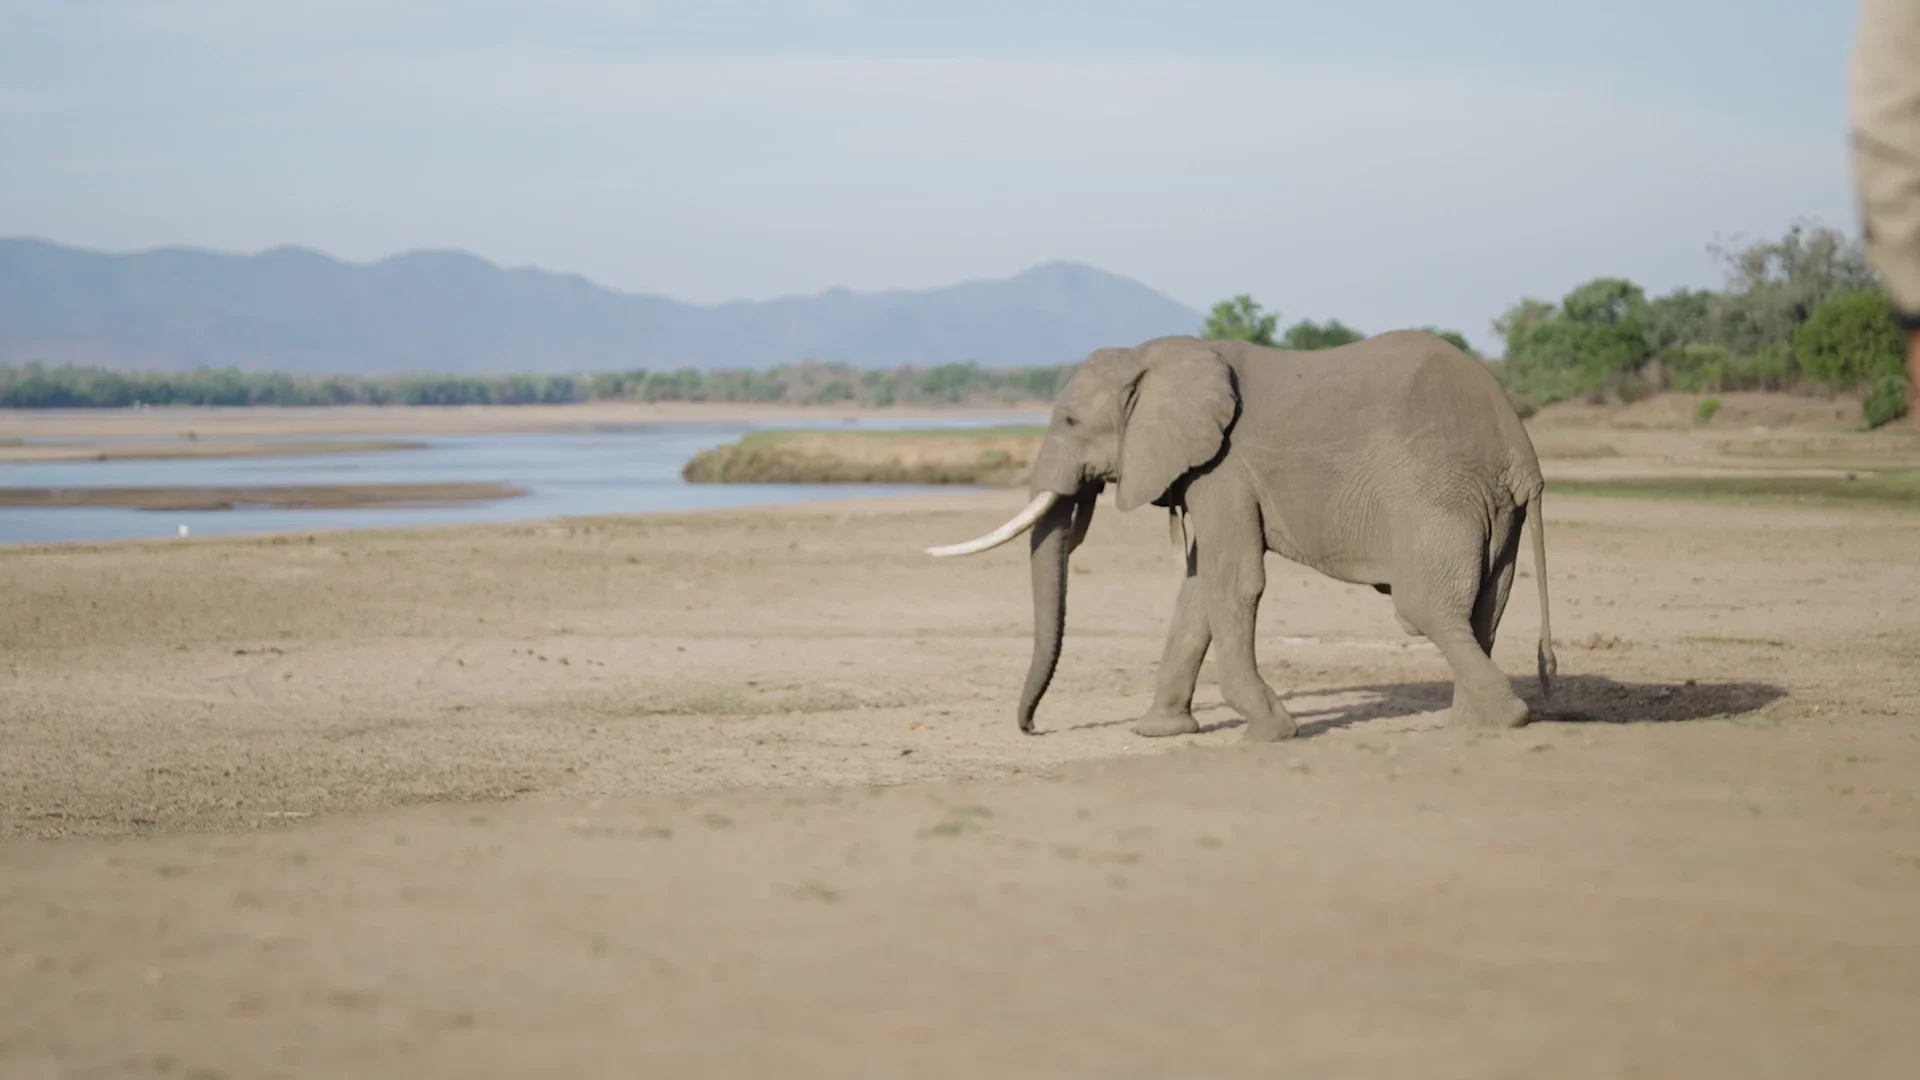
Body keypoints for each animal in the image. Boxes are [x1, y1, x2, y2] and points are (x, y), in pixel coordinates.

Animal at [925, 330, 1556, 742]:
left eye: (1072, 422)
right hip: (1494, 508)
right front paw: (1158, 732)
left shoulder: (1224, 467)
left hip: (1437, 495)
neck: (1155, 356)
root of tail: (1522, 452)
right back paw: (1470, 725)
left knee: (1425, 608)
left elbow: (1234, 581)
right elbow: (1197, 589)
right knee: (1483, 609)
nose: (1033, 729)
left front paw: (1270, 730)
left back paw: (1503, 720)